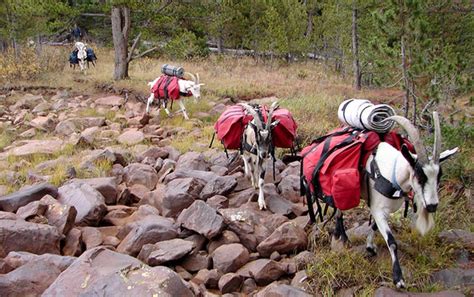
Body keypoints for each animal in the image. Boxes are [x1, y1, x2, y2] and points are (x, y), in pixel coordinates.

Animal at [320, 111, 458, 286]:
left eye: (439, 176)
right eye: (419, 176)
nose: (432, 206)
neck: (392, 173)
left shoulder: (383, 210)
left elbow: (374, 227)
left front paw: (370, 246)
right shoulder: (378, 209)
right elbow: (392, 241)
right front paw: (398, 278)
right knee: (339, 208)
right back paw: (341, 235)